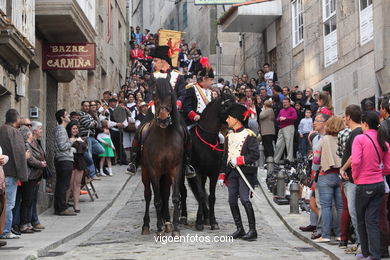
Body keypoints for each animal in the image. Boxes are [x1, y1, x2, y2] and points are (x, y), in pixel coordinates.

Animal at [140, 77, 184, 238]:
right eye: (153, 94)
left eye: (170, 93)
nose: (164, 119)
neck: (164, 137)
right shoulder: (154, 170)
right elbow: (157, 199)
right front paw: (159, 229)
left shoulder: (175, 169)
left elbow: (175, 197)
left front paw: (175, 228)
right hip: (145, 172)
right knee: (148, 195)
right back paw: (146, 225)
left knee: (165, 194)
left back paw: (168, 223)